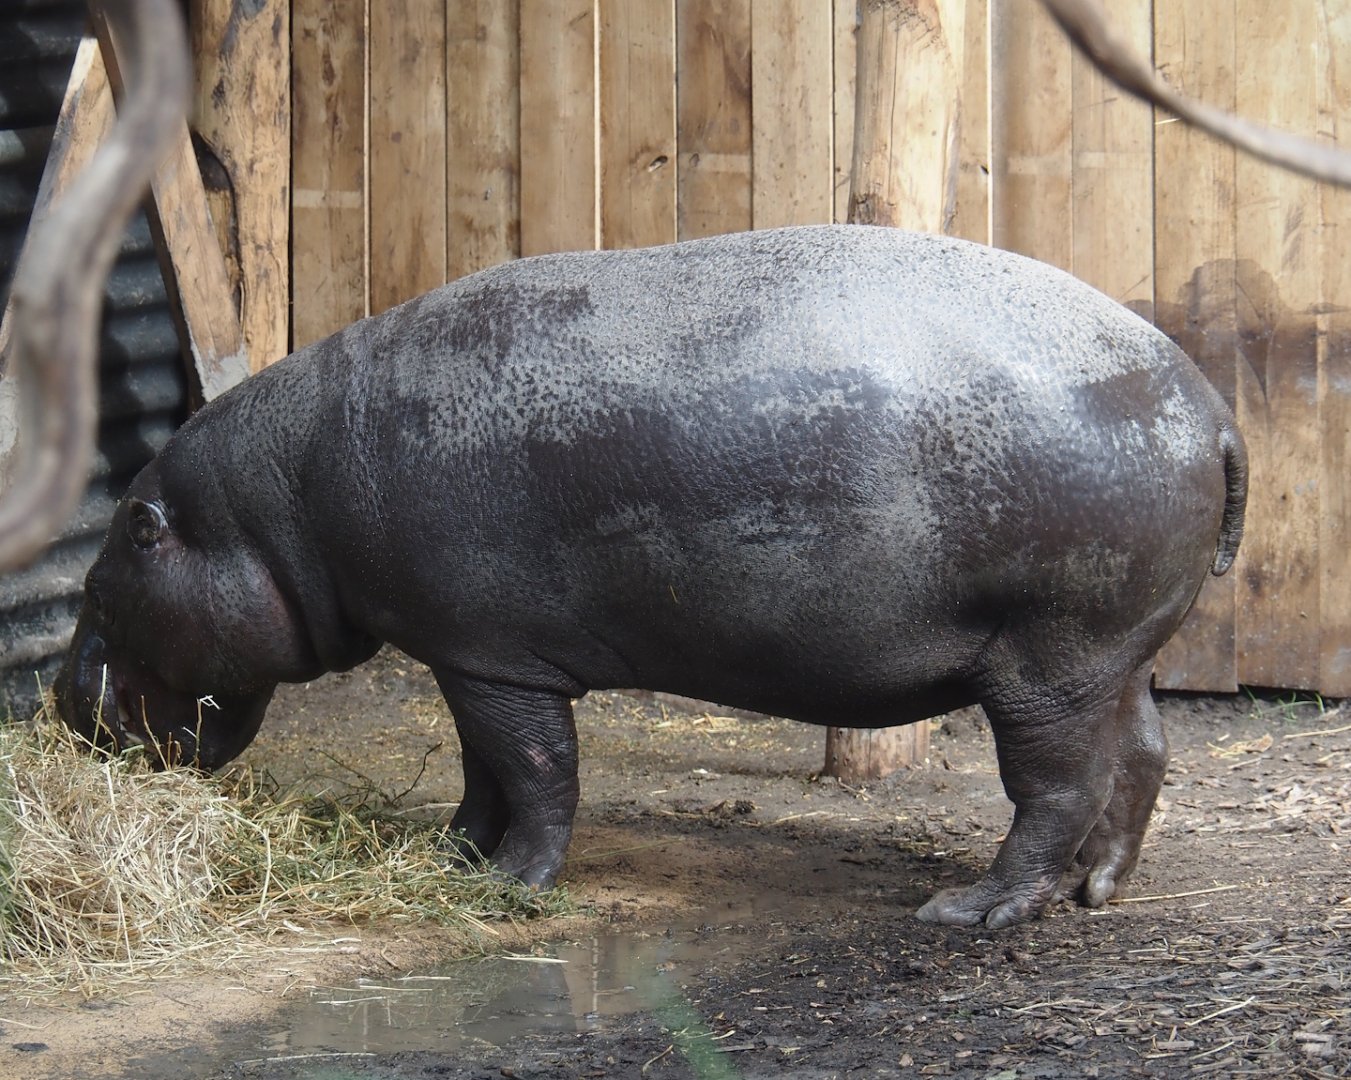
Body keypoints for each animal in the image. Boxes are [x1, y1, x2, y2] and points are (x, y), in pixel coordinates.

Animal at [55, 225, 1246, 928]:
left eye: (103, 581)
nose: (61, 702)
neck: (273, 506)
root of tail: (1208, 403)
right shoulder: (465, 656)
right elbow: (484, 774)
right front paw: (452, 857)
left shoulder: (492, 655)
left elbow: (536, 772)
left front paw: (513, 887)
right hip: (1112, 655)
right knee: (1143, 753)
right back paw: (1100, 890)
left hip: (1046, 660)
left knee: (1055, 786)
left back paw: (976, 910)